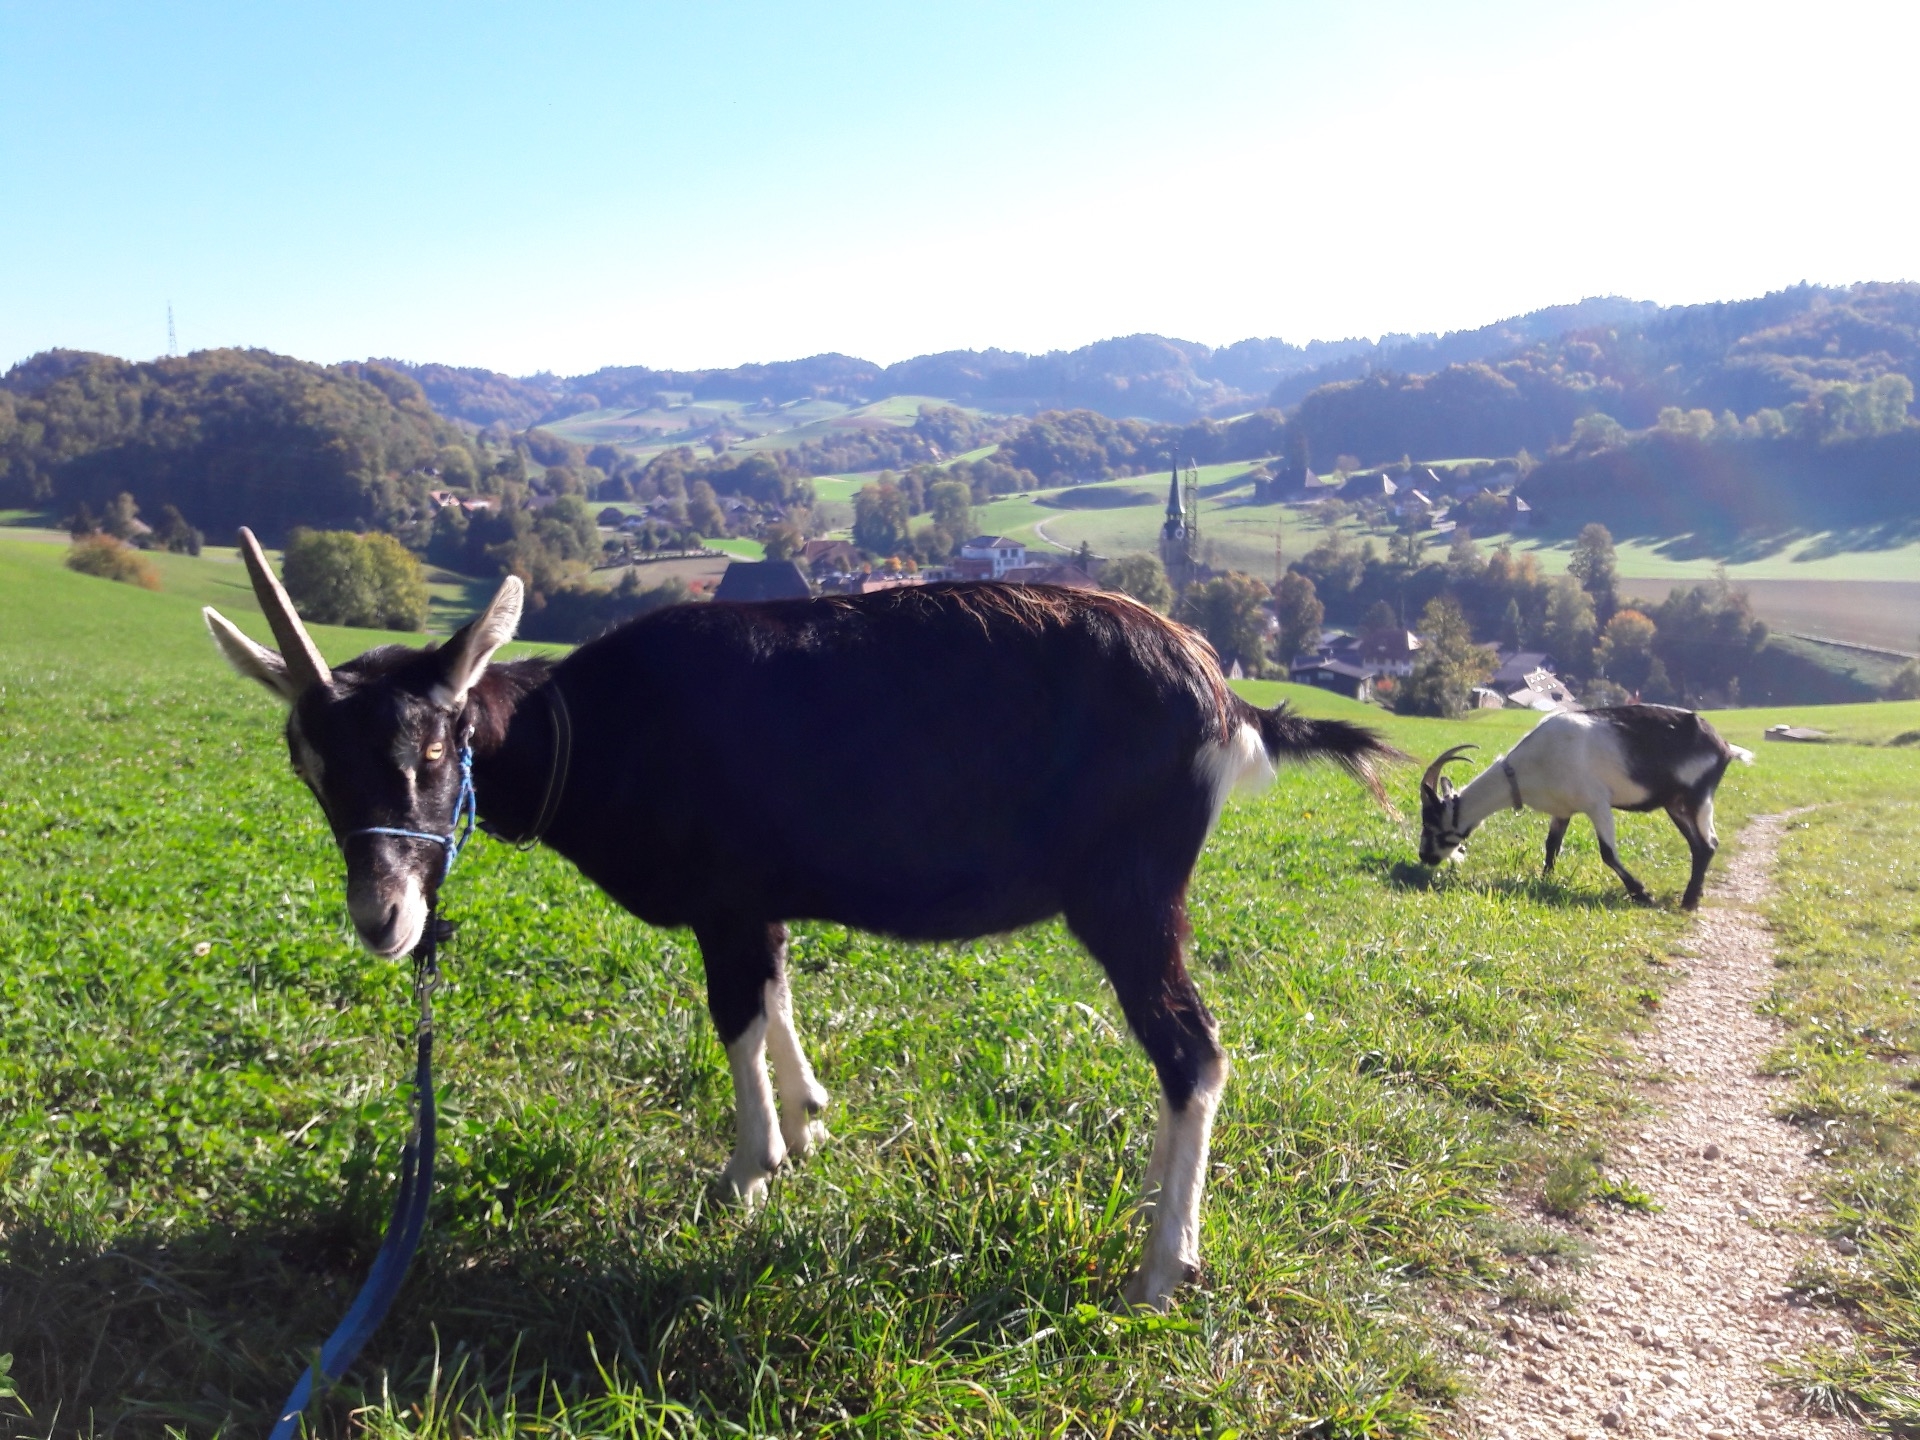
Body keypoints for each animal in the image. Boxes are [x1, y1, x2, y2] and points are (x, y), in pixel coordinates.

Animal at [202, 537, 1397, 1313]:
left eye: (436, 748)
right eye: (309, 765)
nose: (384, 917)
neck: (594, 727)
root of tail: (1227, 700)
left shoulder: (724, 899)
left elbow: (732, 1013)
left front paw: (749, 1170)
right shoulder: (762, 897)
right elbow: (777, 987)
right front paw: (812, 1115)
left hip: (1130, 892)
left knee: (1194, 1052)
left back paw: (1161, 1268)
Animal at [1413, 702, 1758, 906]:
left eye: (1431, 823)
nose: (1424, 857)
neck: (1527, 768)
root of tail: (1725, 747)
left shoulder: (1596, 802)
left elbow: (1607, 853)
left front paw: (1641, 893)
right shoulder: (1562, 810)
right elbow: (1551, 845)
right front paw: (1546, 880)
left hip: (1698, 797)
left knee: (1708, 843)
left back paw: (1689, 902)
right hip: (1676, 804)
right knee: (1700, 846)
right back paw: (1691, 897)